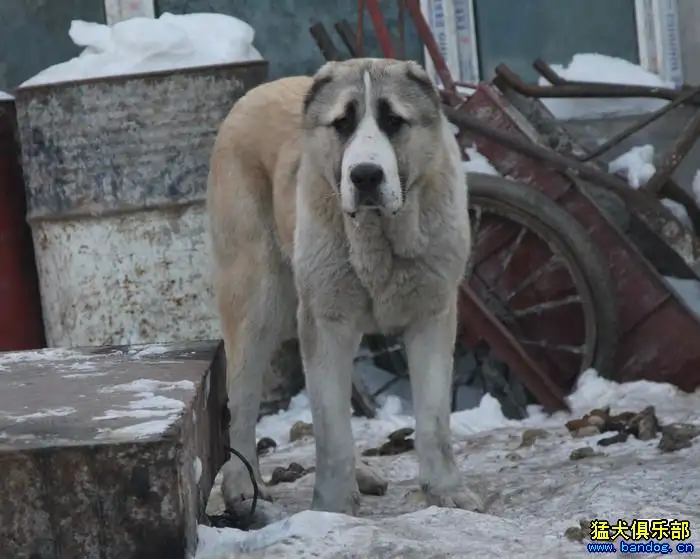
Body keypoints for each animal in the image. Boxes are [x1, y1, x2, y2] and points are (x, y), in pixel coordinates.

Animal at [205, 58, 484, 520]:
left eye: (393, 121)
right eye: (342, 124)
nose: (365, 175)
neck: (378, 237)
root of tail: (255, 92)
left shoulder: (432, 316)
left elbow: (432, 420)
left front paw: (446, 492)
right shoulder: (325, 323)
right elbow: (330, 428)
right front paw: (332, 508)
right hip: (257, 304)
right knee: (241, 403)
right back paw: (243, 488)